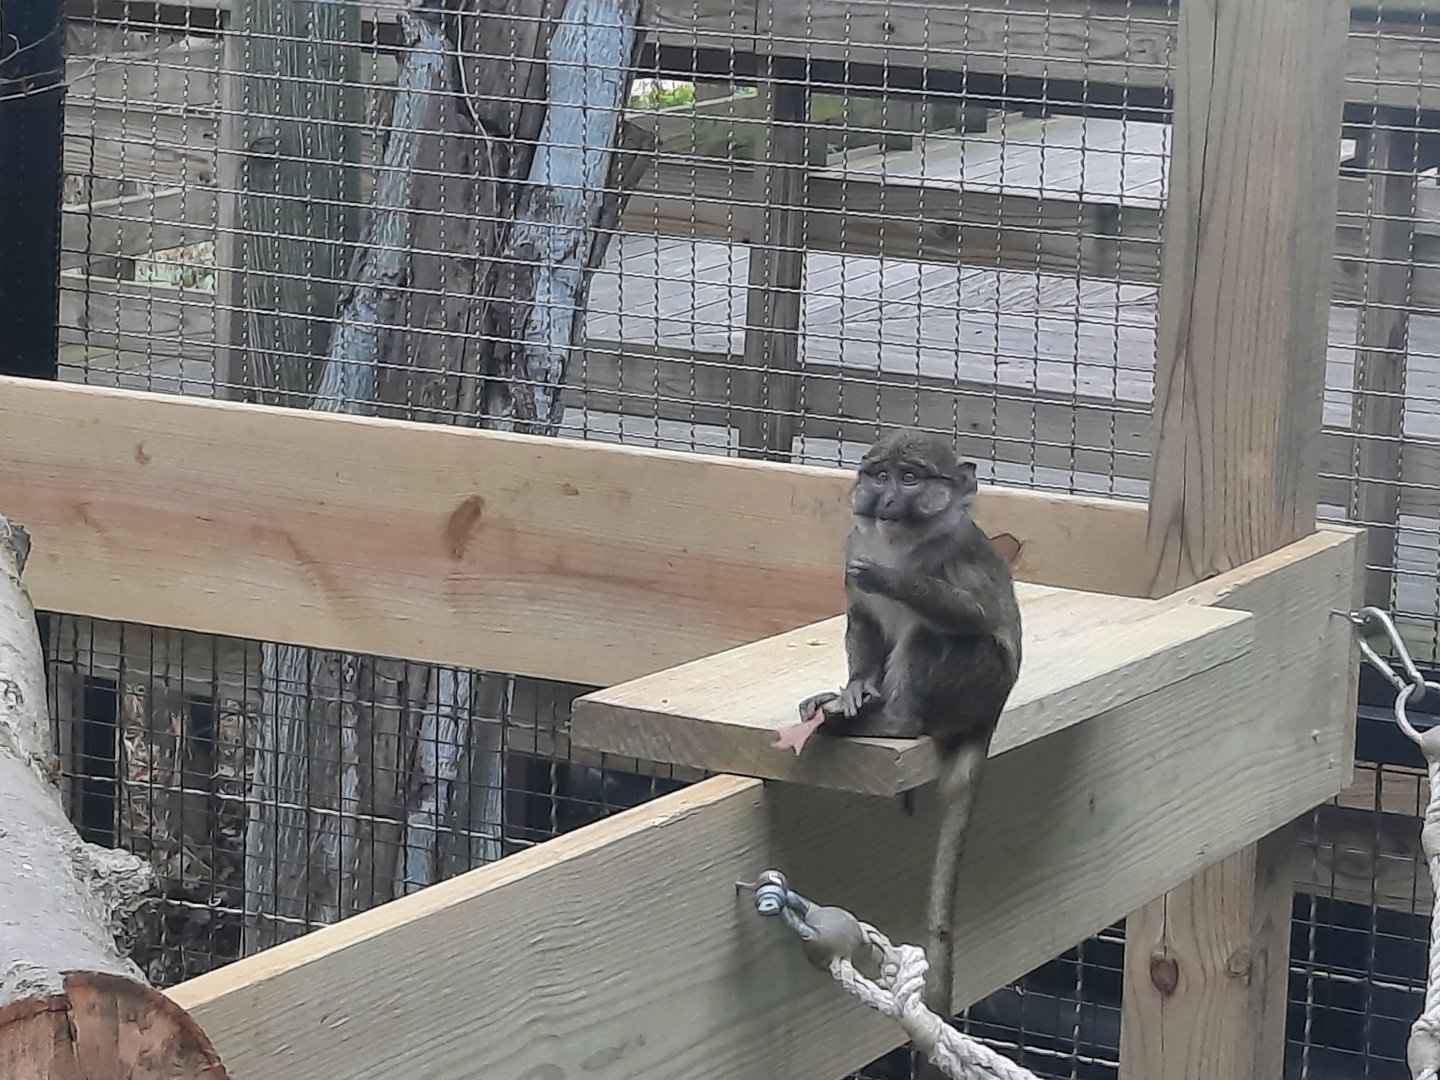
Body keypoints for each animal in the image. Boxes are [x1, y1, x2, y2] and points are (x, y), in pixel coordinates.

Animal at [775, 429, 1023, 1070]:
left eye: (910, 479)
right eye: (879, 474)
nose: (884, 501)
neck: (901, 543)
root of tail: (991, 711)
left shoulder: (955, 557)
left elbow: (968, 613)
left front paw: (893, 584)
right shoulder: (851, 544)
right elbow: (861, 619)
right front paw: (851, 690)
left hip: (976, 682)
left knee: (937, 637)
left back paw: (893, 720)